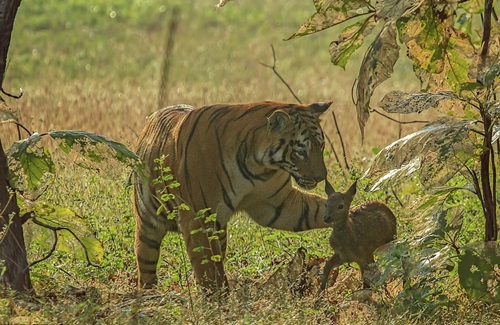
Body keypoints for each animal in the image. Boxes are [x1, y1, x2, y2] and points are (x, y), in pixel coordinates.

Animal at [135, 101, 334, 294]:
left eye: (321, 146)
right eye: (301, 152)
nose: (321, 177)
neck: (260, 166)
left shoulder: (278, 204)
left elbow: (316, 209)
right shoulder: (198, 219)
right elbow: (208, 271)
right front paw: (217, 301)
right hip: (148, 225)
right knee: (146, 262)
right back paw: (147, 295)